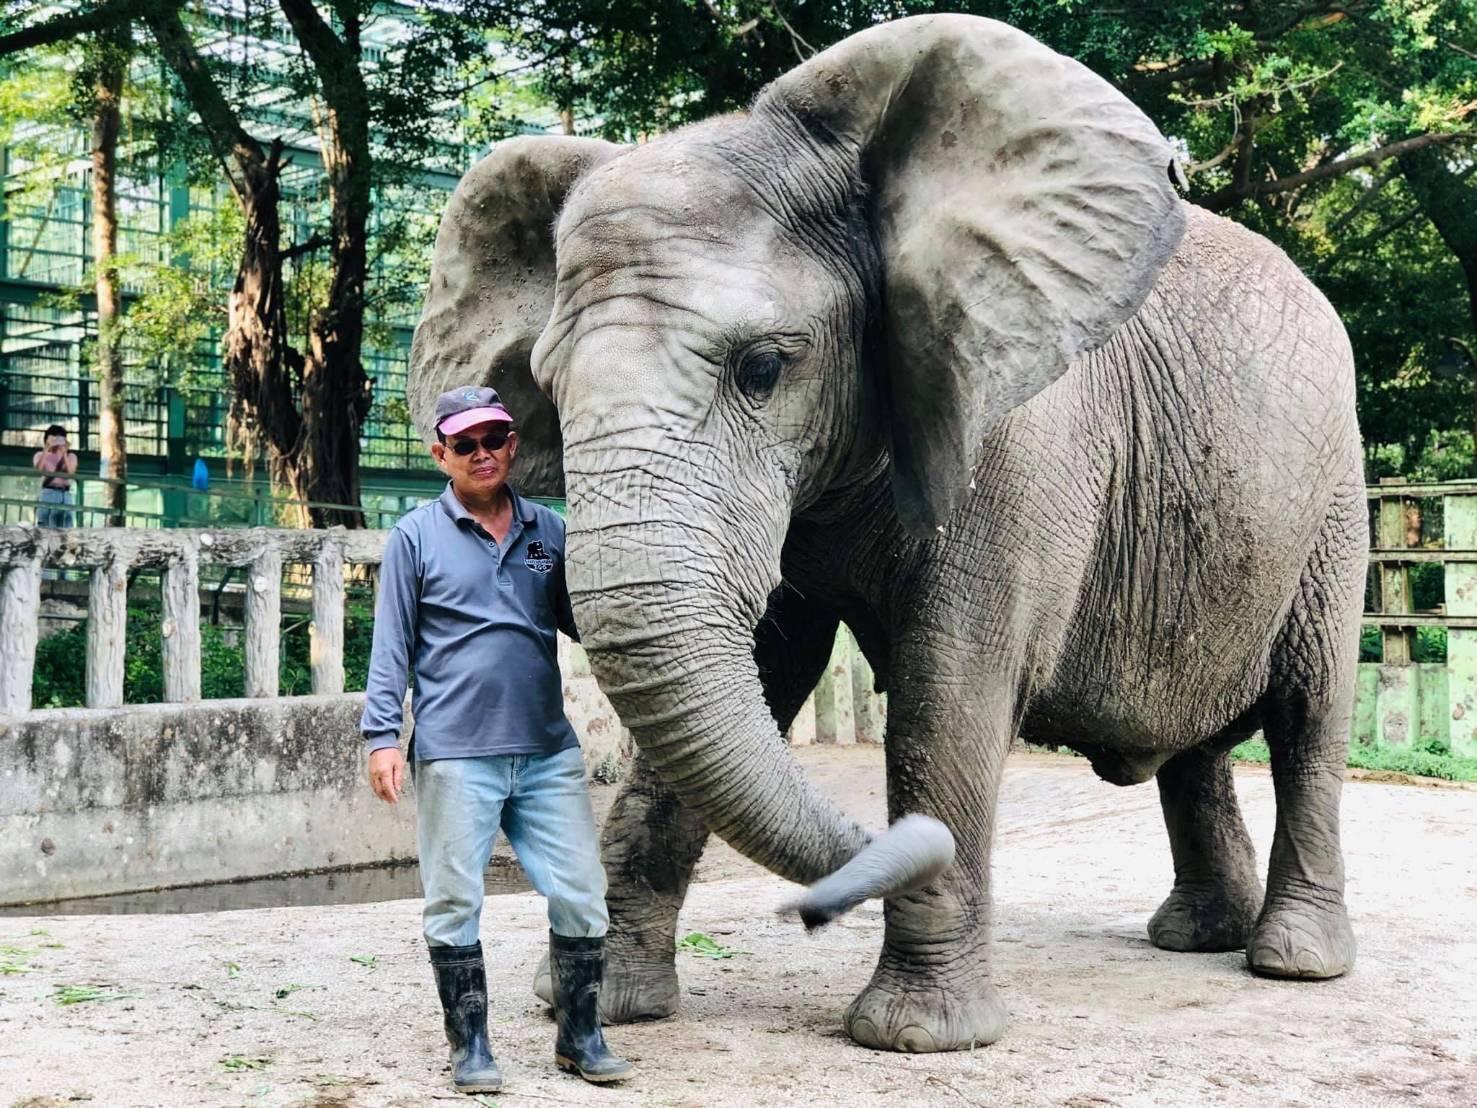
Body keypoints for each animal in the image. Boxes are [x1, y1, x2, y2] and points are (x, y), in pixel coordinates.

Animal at [406, 14, 1366, 1054]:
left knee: (1309, 715)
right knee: (1196, 748)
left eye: (762, 369)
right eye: (548, 385)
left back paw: (1293, 962)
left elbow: (949, 688)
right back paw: (1195, 938)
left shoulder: (1011, 428)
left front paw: (917, 1037)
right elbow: (760, 664)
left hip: (1336, 502)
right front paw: (606, 1004)